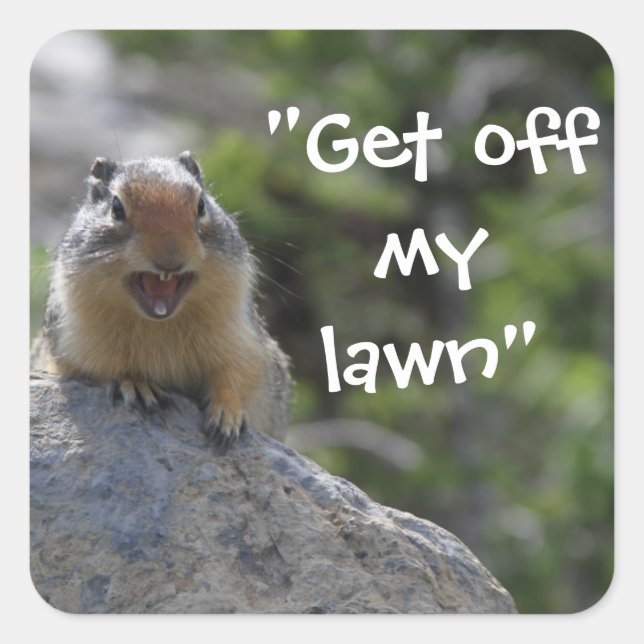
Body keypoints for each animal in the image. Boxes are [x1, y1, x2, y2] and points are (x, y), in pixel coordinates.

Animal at [31, 151, 291, 447]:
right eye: (116, 207)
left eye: (202, 204)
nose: (170, 257)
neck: (159, 324)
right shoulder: (72, 341)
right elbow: (102, 366)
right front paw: (136, 383)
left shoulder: (242, 336)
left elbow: (238, 373)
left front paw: (227, 415)